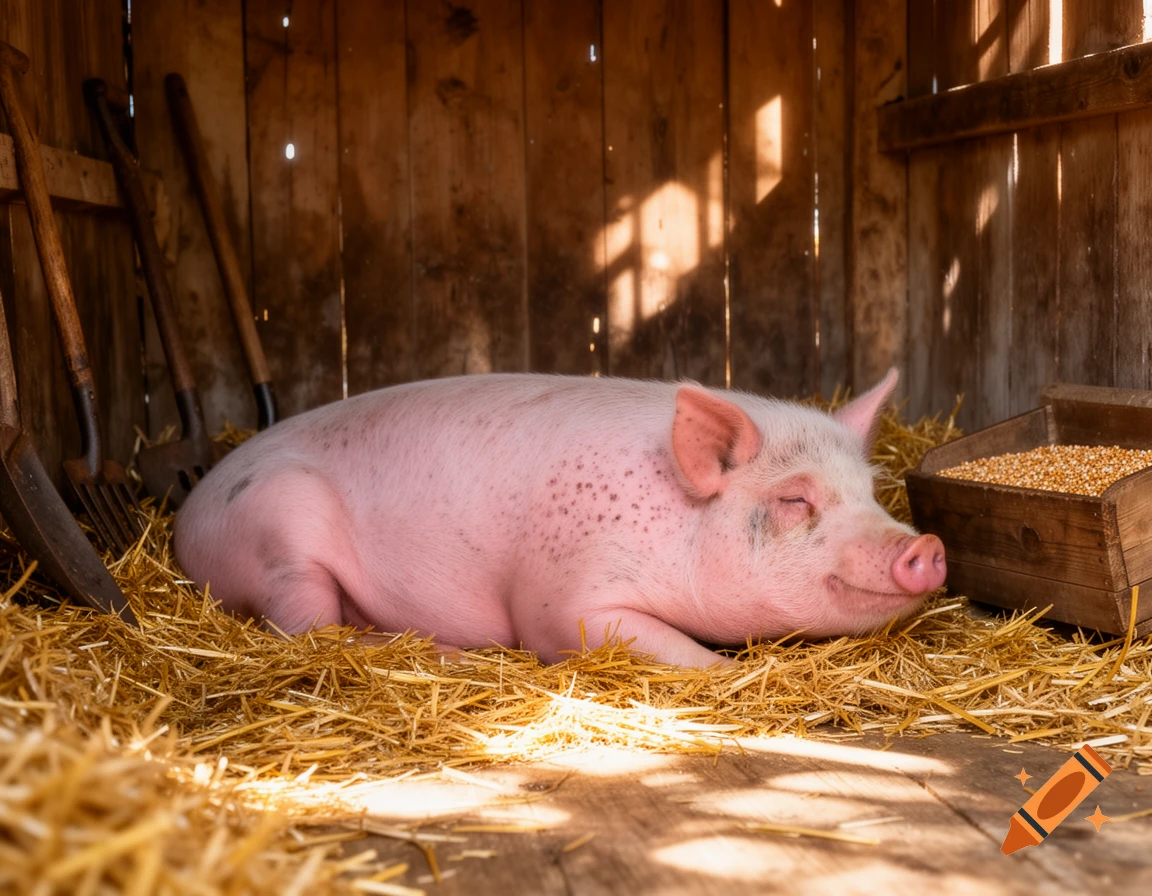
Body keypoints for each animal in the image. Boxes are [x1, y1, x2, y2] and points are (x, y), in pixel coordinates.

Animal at [173, 369, 945, 668]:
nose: (926, 547)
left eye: (872, 494)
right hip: (281, 529)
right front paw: (722, 668)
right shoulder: (564, 596)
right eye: (795, 500)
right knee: (308, 629)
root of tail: (187, 515)